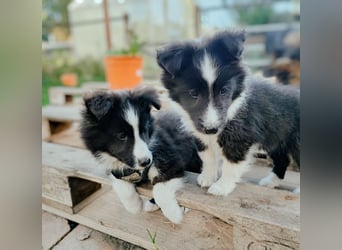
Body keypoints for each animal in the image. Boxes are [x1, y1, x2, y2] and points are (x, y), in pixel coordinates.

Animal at [79, 87, 203, 224]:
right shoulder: (117, 170)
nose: (146, 162)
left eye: (144, 130)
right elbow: (122, 186)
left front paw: (174, 214)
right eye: (121, 136)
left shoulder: (171, 160)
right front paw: (134, 207)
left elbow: (160, 188)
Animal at [156, 30, 300, 195]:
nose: (212, 129)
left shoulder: (239, 136)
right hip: (276, 137)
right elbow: (207, 156)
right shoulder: (199, 134)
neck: (233, 105)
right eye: (193, 94)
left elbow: (231, 163)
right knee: (282, 159)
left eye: (224, 91)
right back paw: (271, 181)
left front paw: (222, 186)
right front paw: (207, 177)